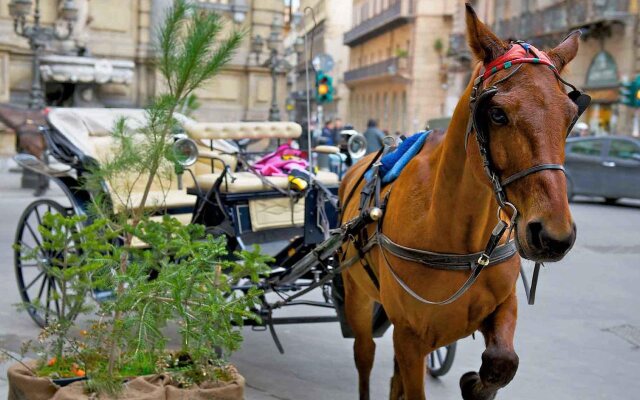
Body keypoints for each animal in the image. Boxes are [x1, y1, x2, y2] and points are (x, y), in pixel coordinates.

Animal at [340, 5, 584, 400]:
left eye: (570, 117)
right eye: (497, 113)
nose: (553, 235)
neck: (462, 243)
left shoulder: (503, 306)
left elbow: (502, 360)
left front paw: (477, 383)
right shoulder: (410, 338)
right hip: (357, 298)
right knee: (364, 355)